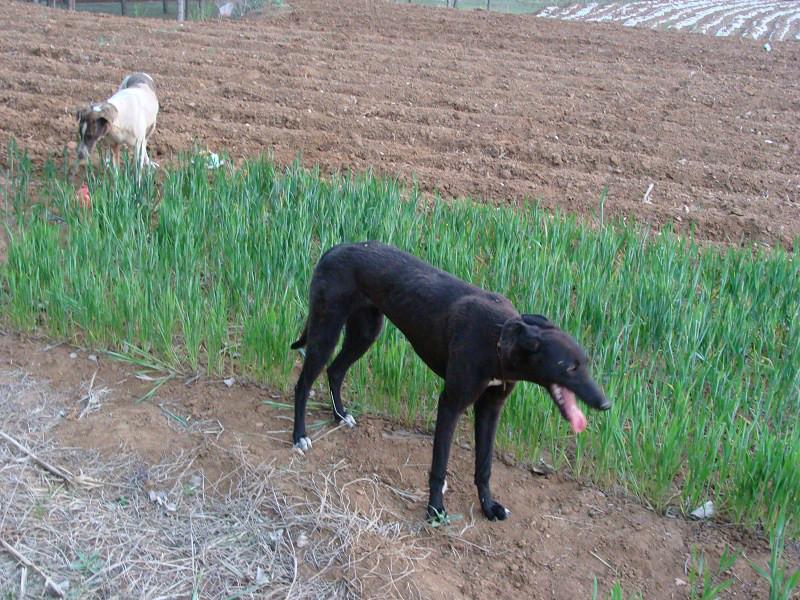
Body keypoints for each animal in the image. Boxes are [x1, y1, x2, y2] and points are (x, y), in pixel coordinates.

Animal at [290, 241, 608, 524]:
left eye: (586, 363)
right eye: (569, 367)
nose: (605, 404)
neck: (500, 338)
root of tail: (336, 249)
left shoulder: (490, 409)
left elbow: (484, 467)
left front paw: (488, 507)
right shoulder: (451, 404)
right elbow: (439, 465)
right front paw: (435, 509)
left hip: (365, 332)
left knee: (335, 371)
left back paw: (340, 415)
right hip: (326, 330)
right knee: (303, 384)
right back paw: (299, 436)